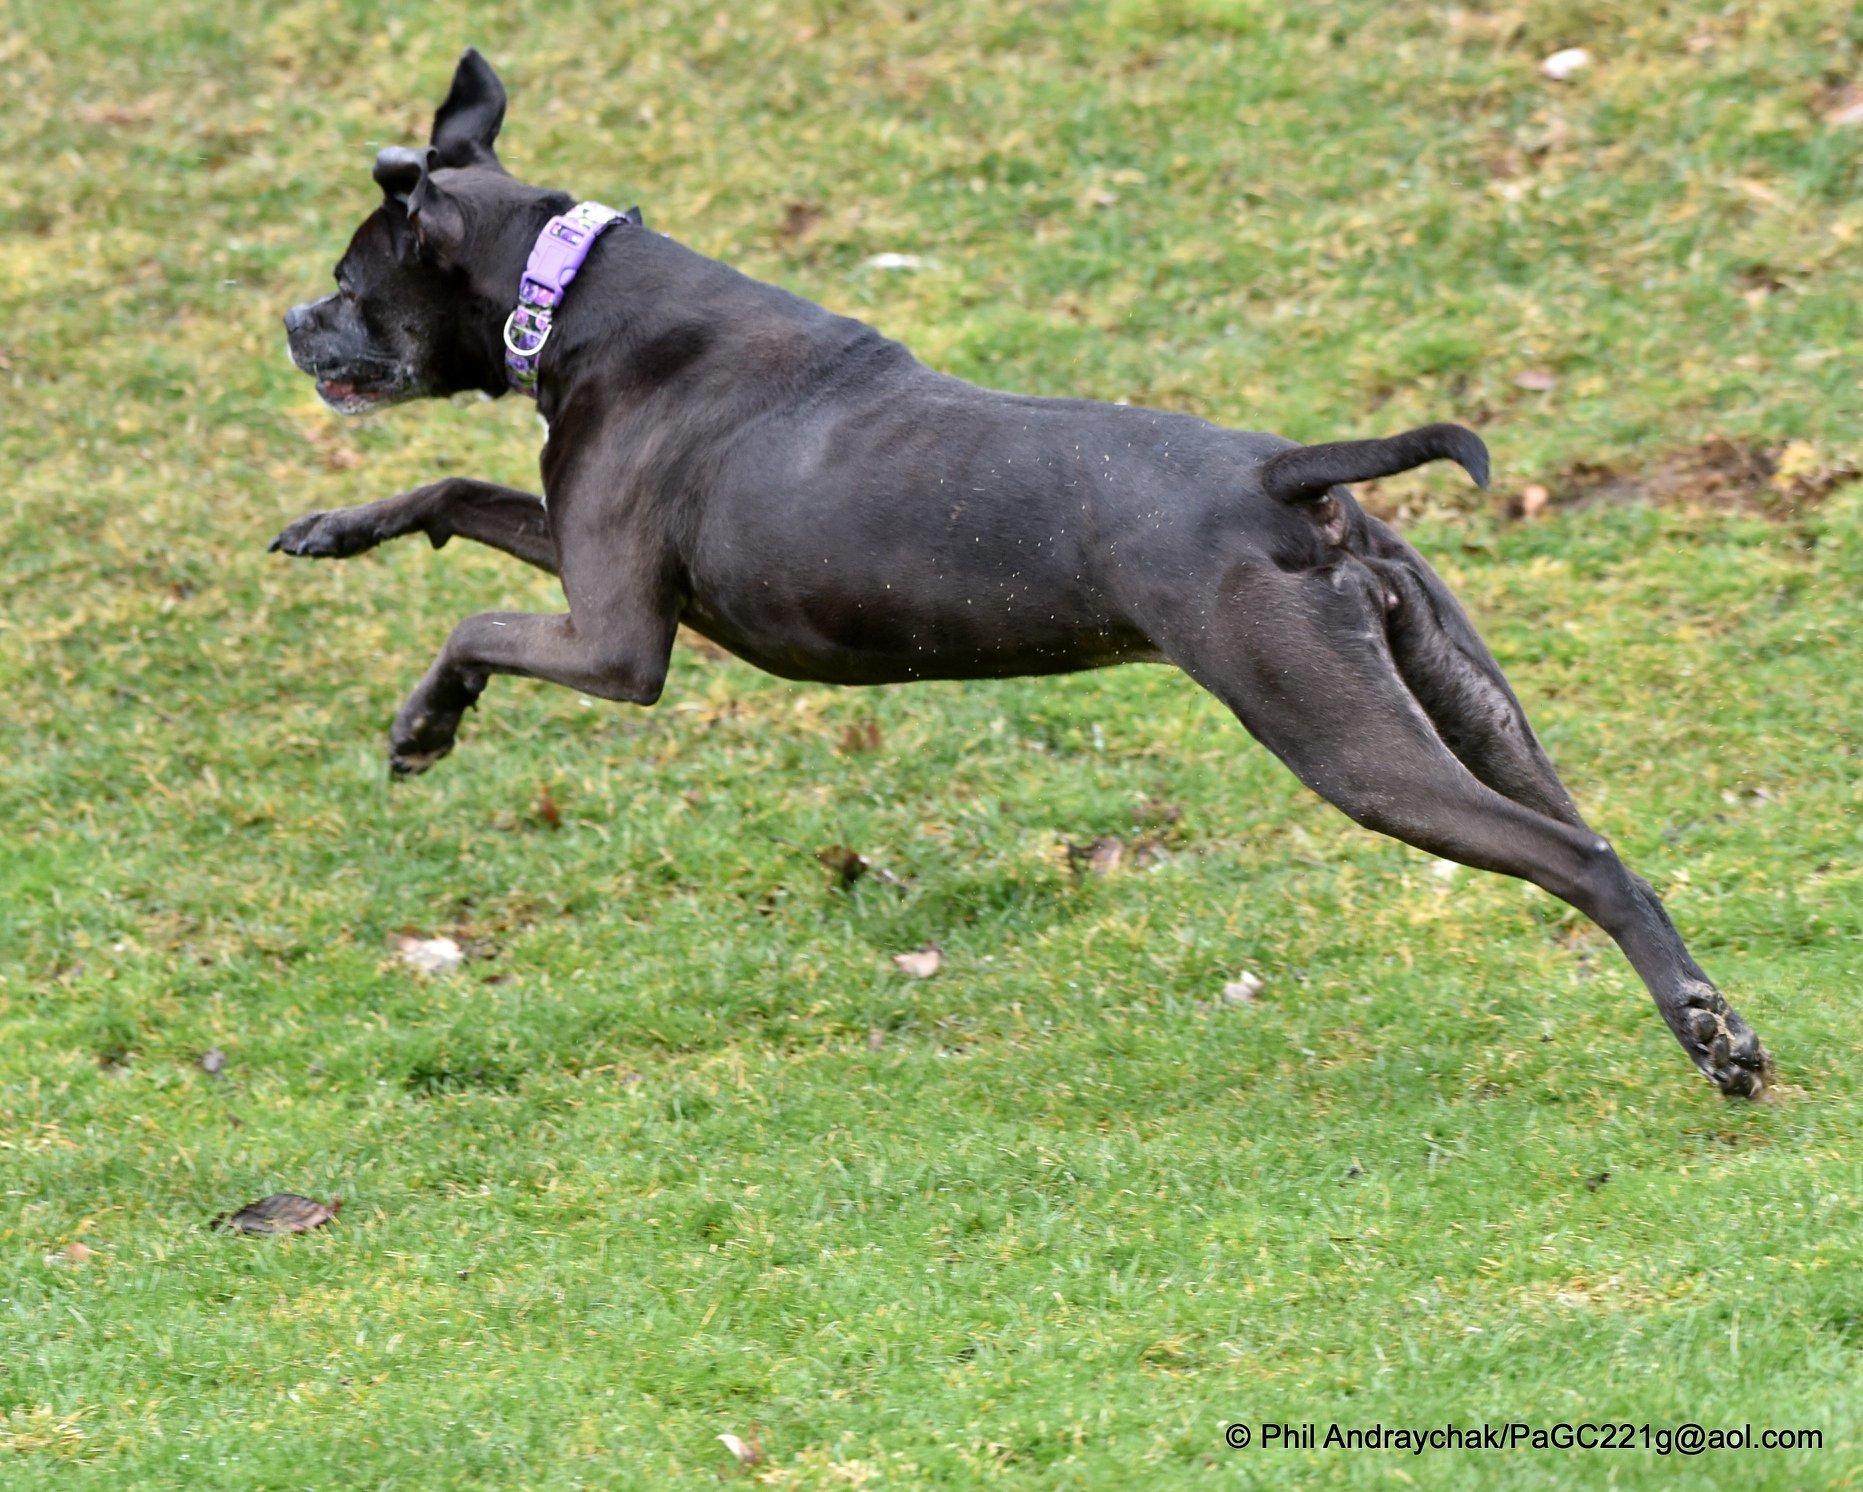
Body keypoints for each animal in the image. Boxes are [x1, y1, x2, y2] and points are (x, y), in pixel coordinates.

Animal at [270, 49, 1766, 1095]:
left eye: (348, 278)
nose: (288, 319)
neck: (569, 291)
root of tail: (1281, 475)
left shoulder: (617, 641)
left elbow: (472, 613)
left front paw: (424, 724)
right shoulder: (583, 563)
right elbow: (457, 496)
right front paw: (336, 530)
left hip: (1345, 739)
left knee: (1572, 857)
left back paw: (1707, 1044)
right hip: (1467, 703)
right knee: (1597, 836)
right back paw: (1719, 1019)